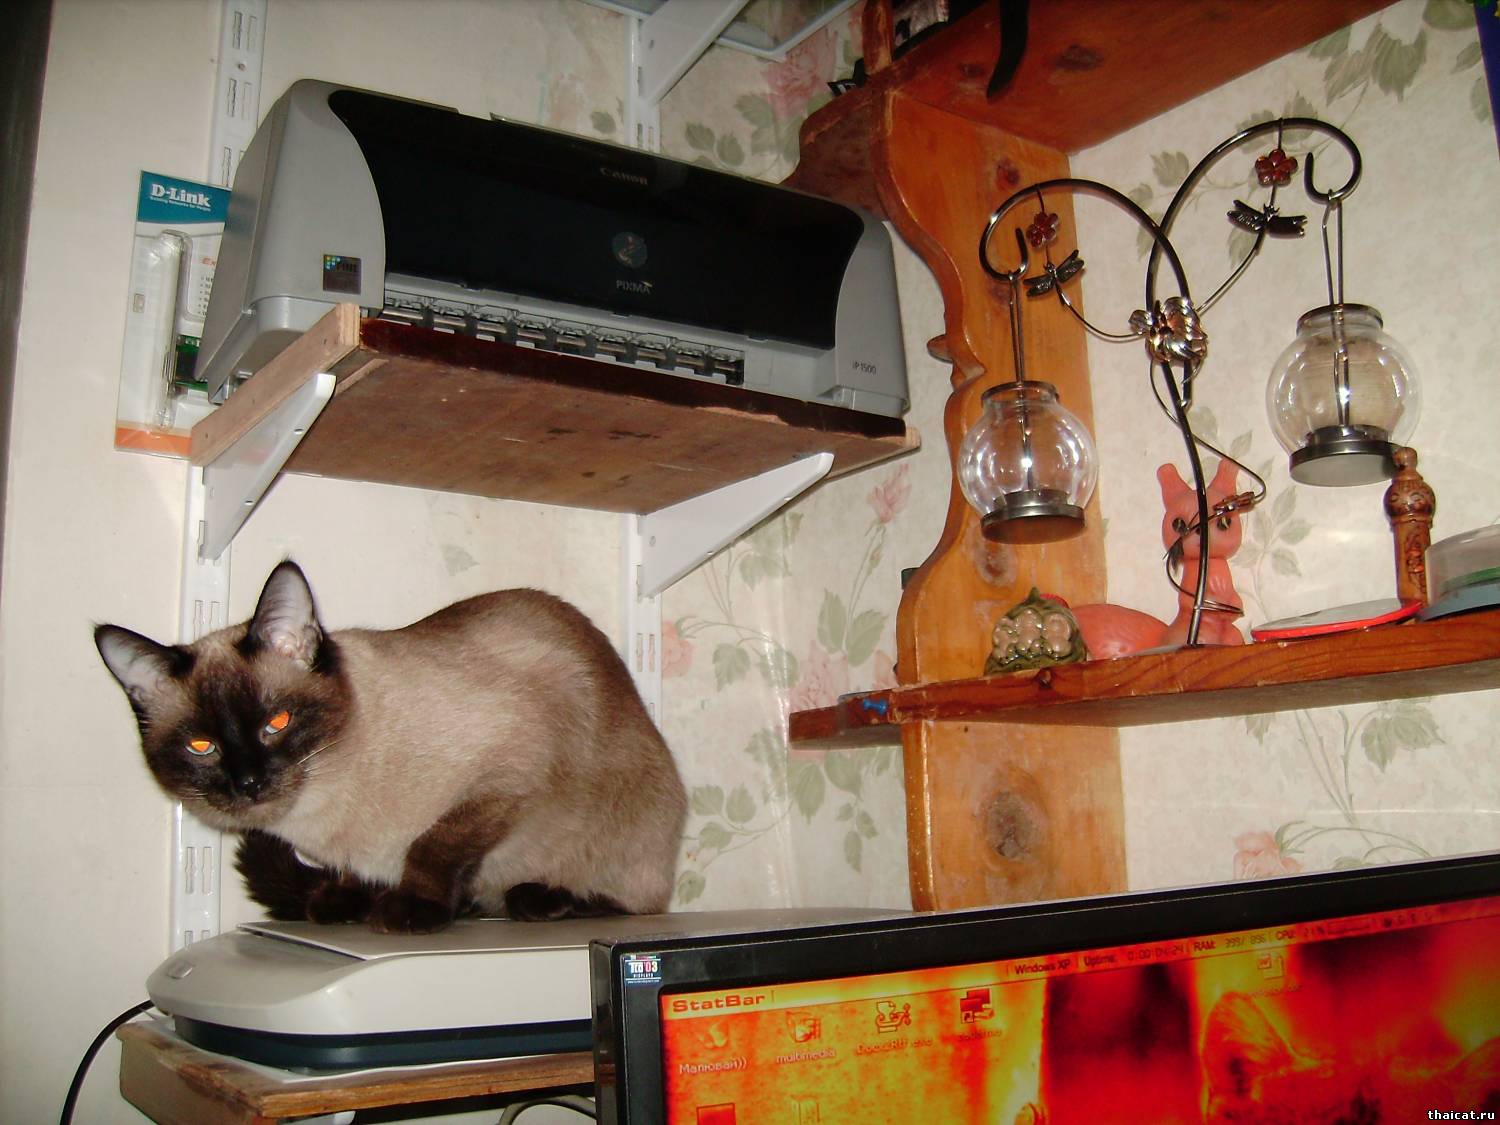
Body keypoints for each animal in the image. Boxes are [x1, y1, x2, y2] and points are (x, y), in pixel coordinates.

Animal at [94, 561, 687, 933]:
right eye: (202, 746)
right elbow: (353, 870)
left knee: (631, 904)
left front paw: (410, 908)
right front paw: (345, 900)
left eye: (276, 722)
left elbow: (433, 846)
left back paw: (538, 901)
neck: (318, 811)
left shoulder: (505, 778)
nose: (249, 784)